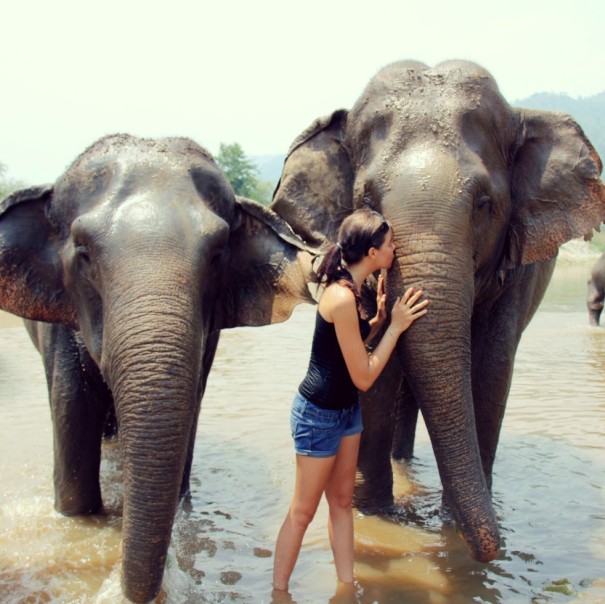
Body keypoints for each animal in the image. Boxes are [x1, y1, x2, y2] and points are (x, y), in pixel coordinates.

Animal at [272, 59, 604, 564]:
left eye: (485, 204)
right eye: (367, 202)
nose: (497, 552)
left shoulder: (517, 268)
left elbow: (491, 364)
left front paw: (451, 523)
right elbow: (373, 364)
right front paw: (377, 515)